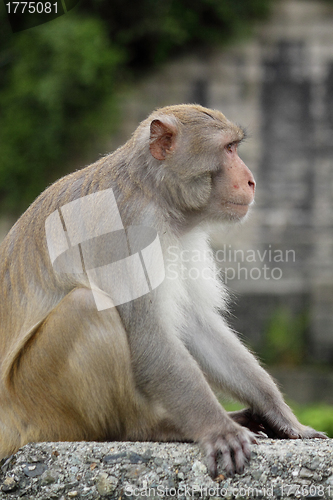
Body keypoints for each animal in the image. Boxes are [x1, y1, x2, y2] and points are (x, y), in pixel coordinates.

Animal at [0, 104, 324, 476]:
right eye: (228, 149)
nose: (251, 180)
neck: (155, 193)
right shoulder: (130, 230)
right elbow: (149, 337)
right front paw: (219, 430)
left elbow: (197, 327)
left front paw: (281, 415)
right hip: (38, 402)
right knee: (86, 305)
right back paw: (150, 427)